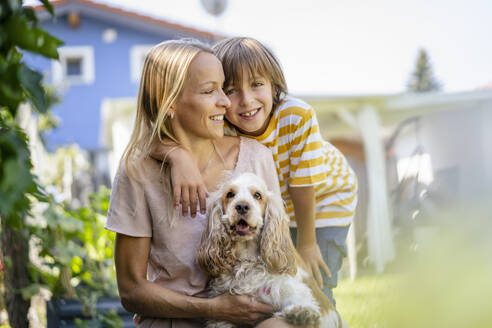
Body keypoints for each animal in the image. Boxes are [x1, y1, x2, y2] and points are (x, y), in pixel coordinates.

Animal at [196, 173, 346, 326]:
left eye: (257, 195)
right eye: (230, 194)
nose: (242, 206)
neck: (246, 257)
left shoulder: (284, 286)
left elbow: (298, 297)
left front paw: (303, 311)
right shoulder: (222, 316)